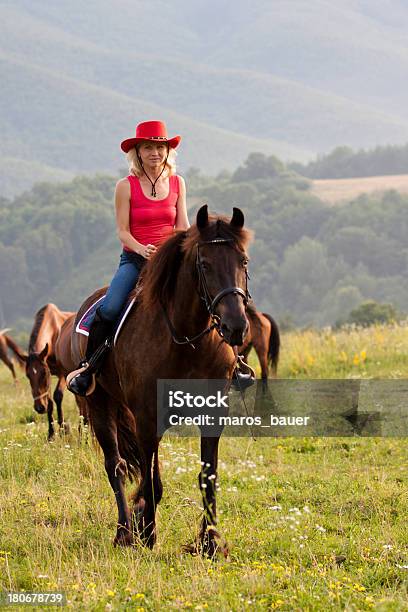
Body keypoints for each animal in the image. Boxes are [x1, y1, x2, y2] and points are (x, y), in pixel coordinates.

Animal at [21, 302, 74, 438]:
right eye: (27, 375)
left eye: (43, 373)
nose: (40, 408)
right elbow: (50, 402)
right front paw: (51, 434)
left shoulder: (62, 373)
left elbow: (58, 396)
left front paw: (63, 429)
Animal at [71, 206, 252, 556]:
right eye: (205, 264)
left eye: (243, 261)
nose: (235, 326)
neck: (186, 340)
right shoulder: (147, 417)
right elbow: (150, 480)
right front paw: (147, 533)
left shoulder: (213, 414)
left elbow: (207, 476)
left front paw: (210, 543)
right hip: (100, 404)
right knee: (116, 466)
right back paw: (124, 532)